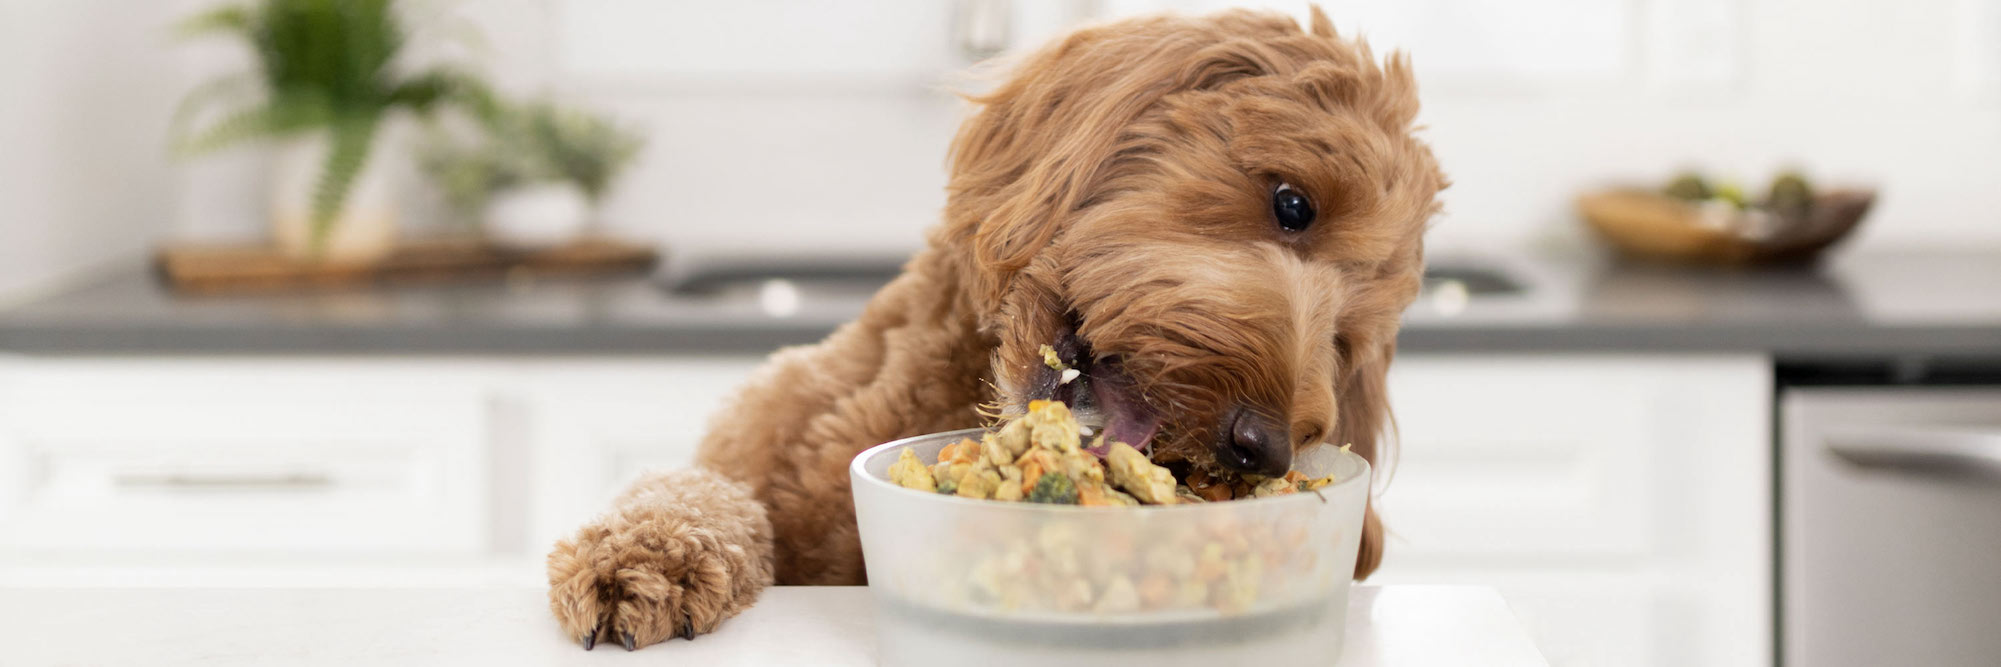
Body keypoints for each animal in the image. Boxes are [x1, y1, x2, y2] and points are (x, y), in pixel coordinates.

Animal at [548, 6, 1448, 648]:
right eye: (1292, 204)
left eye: (1348, 341)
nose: (1260, 446)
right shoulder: (747, 450)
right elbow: (691, 492)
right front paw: (639, 559)